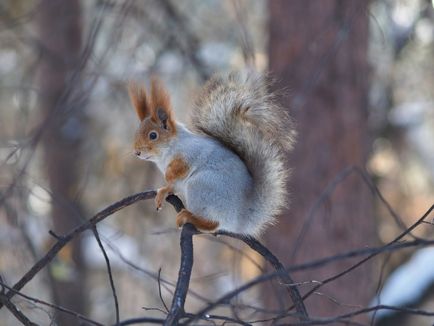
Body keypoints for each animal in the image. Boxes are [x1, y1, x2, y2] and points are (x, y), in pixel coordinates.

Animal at [129, 70, 294, 236]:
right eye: (137, 132)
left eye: (153, 135)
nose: (137, 152)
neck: (166, 153)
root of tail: (240, 219)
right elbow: (172, 187)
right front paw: (163, 191)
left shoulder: (190, 152)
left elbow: (180, 169)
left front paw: (168, 176)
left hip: (201, 186)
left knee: (212, 224)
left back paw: (189, 217)